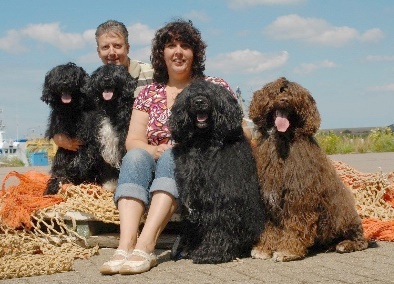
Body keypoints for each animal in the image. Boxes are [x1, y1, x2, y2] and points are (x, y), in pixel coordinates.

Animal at [41, 61, 99, 195]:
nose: (65, 83)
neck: (70, 110)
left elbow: (83, 157)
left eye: (74, 76)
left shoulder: (87, 140)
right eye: (58, 76)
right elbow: (61, 168)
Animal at [169, 78, 264, 264]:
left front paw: (211, 252)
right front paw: (192, 248)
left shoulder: (224, 198)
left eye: (211, 92)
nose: (199, 101)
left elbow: (219, 224)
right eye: (190, 93)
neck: (204, 142)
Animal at [248, 77, 368, 262]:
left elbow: (295, 226)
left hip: (342, 213)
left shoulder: (299, 198)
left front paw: (287, 251)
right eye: (278, 91)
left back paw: (346, 244)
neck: (283, 140)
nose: (285, 100)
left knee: (361, 239)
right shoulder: (268, 199)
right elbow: (269, 227)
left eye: (293, 94)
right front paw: (264, 248)